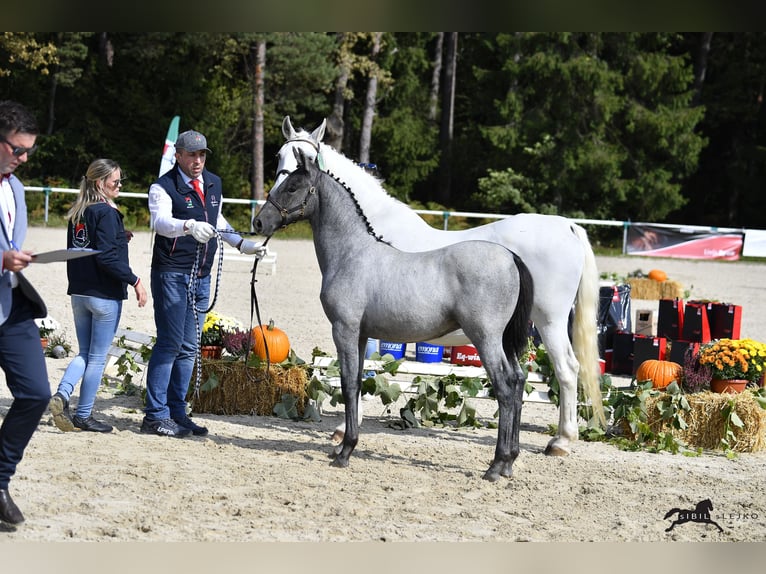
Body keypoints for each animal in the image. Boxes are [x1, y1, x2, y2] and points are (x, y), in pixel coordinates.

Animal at [255, 150, 536, 482]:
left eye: (292, 186)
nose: (259, 222)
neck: (351, 253)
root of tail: (510, 257)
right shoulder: (361, 334)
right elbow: (357, 382)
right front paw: (343, 447)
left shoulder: (344, 330)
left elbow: (348, 384)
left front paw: (345, 452)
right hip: (503, 341)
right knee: (517, 382)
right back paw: (509, 463)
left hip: (486, 338)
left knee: (504, 388)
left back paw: (495, 466)